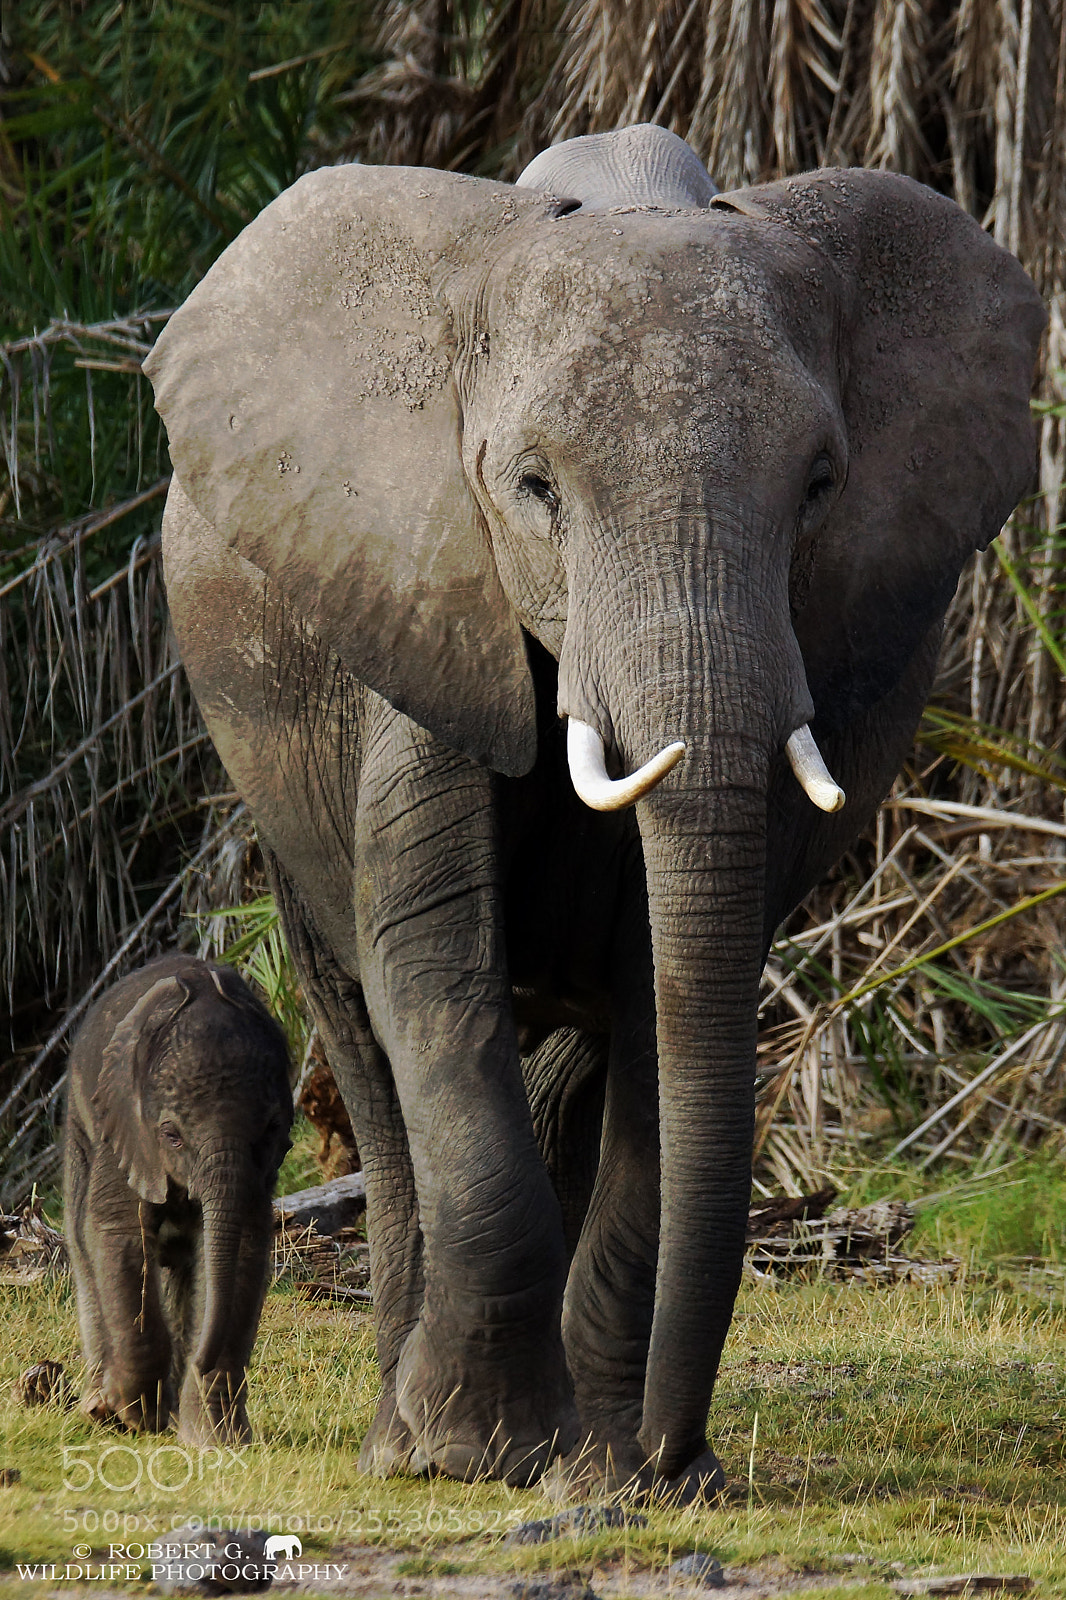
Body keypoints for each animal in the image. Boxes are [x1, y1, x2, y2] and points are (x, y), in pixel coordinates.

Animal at [64, 954, 293, 1445]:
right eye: (171, 1136)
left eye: (270, 1131)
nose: (197, 1361)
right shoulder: (124, 1127)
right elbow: (120, 1234)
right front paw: (135, 1417)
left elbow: (243, 1250)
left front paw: (216, 1441)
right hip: (78, 1122)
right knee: (82, 1244)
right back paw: (99, 1408)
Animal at [143, 124, 1044, 1495]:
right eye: (532, 487)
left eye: (821, 485)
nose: (684, 1459)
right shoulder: (424, 591)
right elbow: (434, 959)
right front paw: (473, 1454)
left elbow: (667, 989)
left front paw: (604, 1471)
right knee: (366, 1047)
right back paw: (401, 1434)